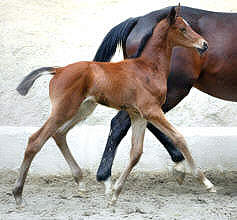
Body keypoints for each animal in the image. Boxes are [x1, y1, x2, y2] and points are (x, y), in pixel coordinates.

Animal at [14, 6, 215, 206]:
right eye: (182, 29)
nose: (204, 44)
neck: (148, 67)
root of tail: (58, 70)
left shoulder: (138, 115)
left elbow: (136, 152)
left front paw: (115, 193)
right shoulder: (151, 110)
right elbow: (179, 138)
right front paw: (206, 183)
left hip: (83, 109)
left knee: (59, 133)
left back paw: (80, 181)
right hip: (64, 109)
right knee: (35, 140)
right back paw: (18, 194)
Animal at [94, 5, 237, 184]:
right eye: (182, 29)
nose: (204, 45)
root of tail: (138, 20)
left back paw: (179, 161)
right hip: (171, 90)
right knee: (120, 122)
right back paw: (104, 174)